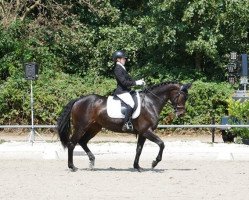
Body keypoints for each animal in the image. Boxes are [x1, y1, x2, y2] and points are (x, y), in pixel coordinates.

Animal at [57, 82, 192, 171]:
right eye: (182, 96)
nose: (181, 113)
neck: (151, 102)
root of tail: (78, 100)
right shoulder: (146, 131)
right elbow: (161, 144)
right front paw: (154, 162)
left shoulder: (142, 133)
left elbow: (139, 149)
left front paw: (137, 167)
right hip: (81, 127)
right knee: (72, 143)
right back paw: (72, 167)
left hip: (94, 128)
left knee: (83, 142)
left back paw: (92, 161)